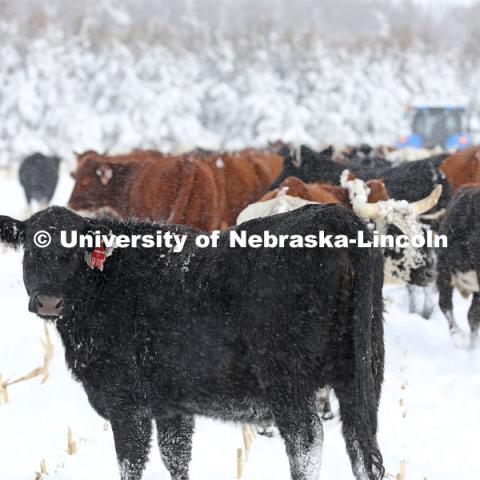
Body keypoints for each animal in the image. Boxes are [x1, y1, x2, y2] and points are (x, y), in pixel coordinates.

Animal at [0, 206, 384, 480]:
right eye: (31, 250)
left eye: (73, 251)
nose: (49, 302)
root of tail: (333, 213)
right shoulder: (172, 407)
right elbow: (176, 457)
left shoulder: (127, 402)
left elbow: (131, 463)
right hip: (362, 374)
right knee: (360, 445)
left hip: (287, 379)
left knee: (306, 441)